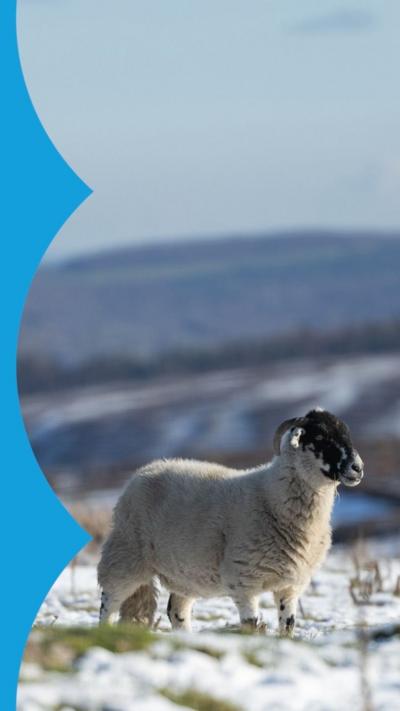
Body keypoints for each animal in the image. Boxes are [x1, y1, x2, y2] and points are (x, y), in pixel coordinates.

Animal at [97, 408, 364, 635]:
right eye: (320, 436)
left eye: (346, 434)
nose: (358, 468)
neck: (272, 496)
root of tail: (146, 469)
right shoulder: (244, 579)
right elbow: (251, 623)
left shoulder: (290, 585)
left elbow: (287, 625)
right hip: (125, 556)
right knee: (108, 604)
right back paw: (104, 631)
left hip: (185, 573)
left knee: (176, 611)